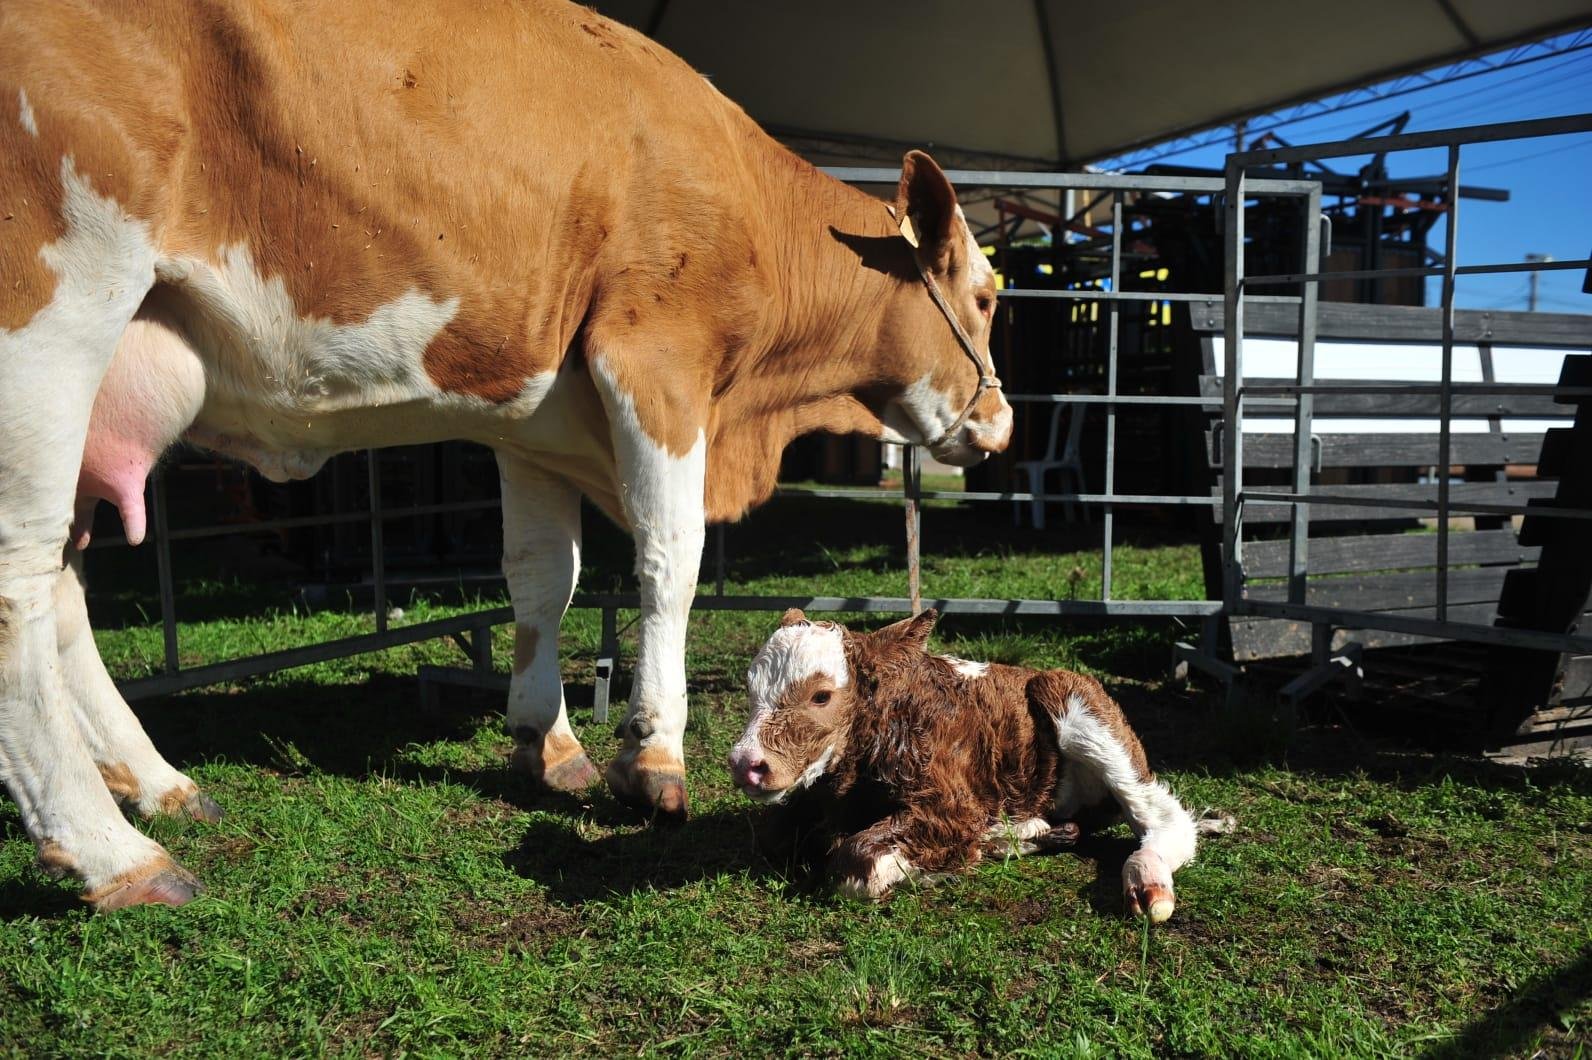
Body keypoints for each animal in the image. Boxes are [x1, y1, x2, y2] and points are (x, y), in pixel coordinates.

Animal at [0, 0, 1012, 909]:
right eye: (989, 295)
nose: (1001, 424)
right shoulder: (657, 359)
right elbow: (668, 558)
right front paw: (652, 756)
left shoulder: (535, 422)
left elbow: (541, 578)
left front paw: (547, 743)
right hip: (50, 329)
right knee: (19, 586)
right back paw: (110, 850)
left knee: (62, 584)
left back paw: (155, 780)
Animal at [729, 610, 1210, 921]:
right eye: (750, 687)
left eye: (821, 696)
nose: (745, 765)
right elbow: (774, 836)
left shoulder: (952, 805)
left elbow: (853, 864)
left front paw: (929, 870)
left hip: (1079, 705)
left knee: (1164, 817)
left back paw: (1147, 881)